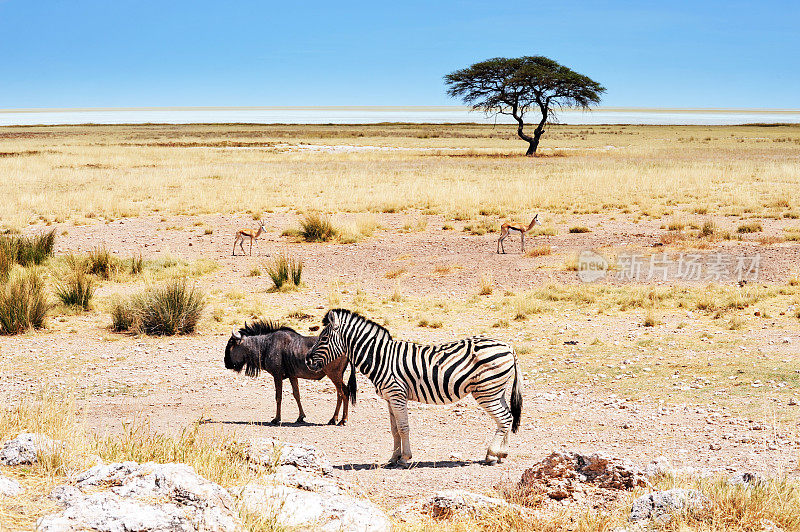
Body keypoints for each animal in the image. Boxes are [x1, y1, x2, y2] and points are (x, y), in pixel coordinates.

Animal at [304, 308, 520, 466]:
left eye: (323, 339)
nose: (307, 360)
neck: (381, 358)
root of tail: (508, 346)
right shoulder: (389, 398)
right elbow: (394, 429)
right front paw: (393, 457)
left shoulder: (397, 395)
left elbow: (403, 427)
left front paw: (405, 458)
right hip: (496, 391)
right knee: (508, 417)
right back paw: (502, 454)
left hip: (486, 391)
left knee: (503, 418)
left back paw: (491, 455)